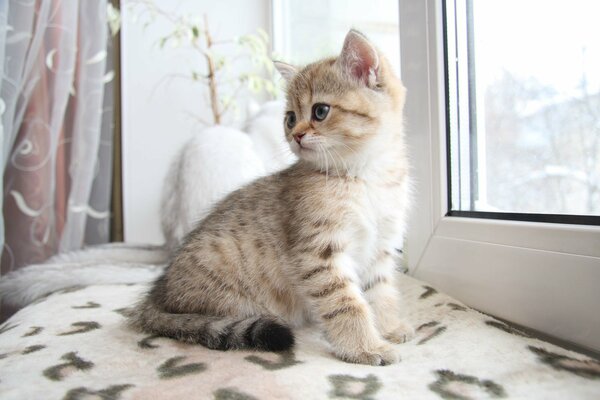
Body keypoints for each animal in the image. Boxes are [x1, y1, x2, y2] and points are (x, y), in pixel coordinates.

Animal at [130, 29, 412, 364]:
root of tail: (155, 296)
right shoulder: (319, 253)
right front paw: (365, 346)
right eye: (290, 118)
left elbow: (380, 292)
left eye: (320, 111)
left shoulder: (381, 247)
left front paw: (388, 328)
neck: (365, 177)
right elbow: (347, 303)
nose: (296, 135)